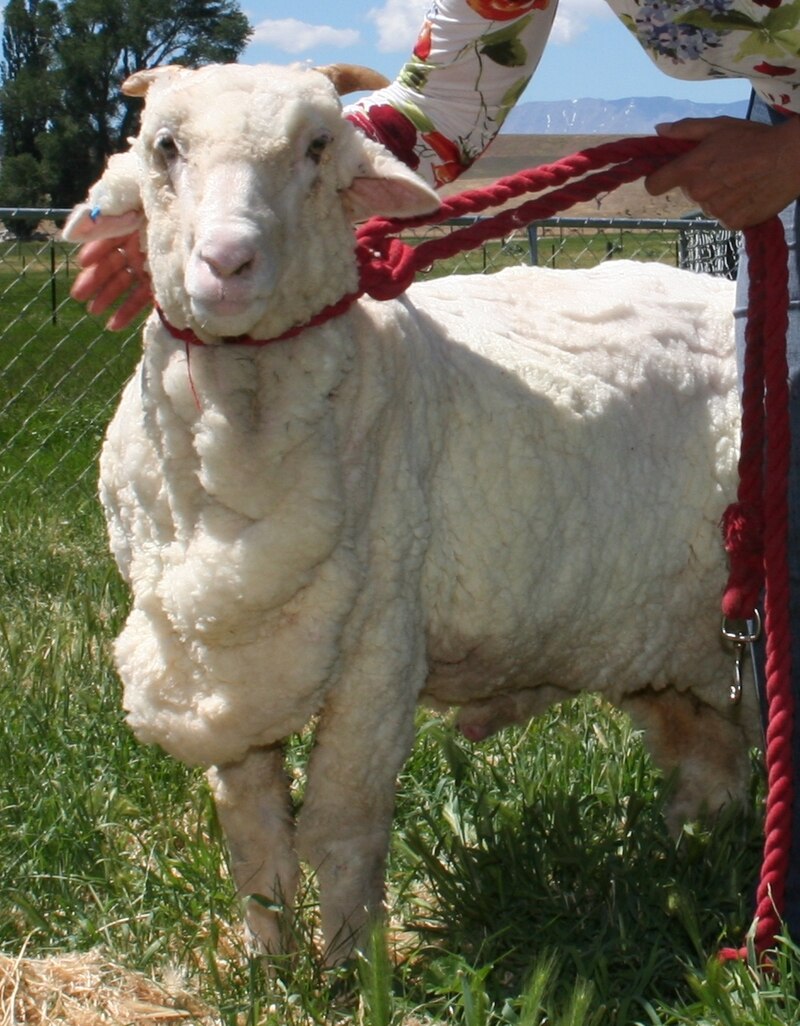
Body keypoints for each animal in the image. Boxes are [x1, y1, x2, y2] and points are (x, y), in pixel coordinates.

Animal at [63, 61, 757, 962]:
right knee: (711, 759)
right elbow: (255, 839)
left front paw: (351, 965)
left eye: (318, 146)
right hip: (665, 633)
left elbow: (341, 827)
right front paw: (267, 966)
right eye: (164, 146)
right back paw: (687, 864)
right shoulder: (228, 661)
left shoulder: (379, 650)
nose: (227, 262)